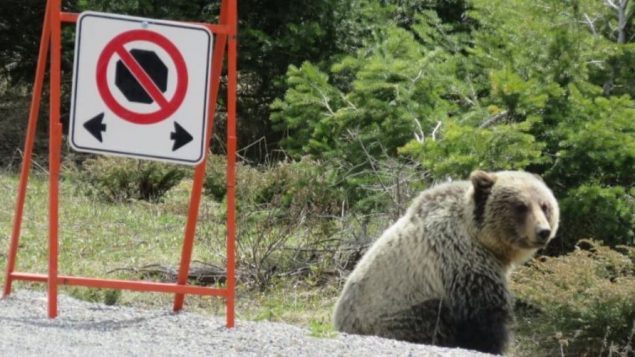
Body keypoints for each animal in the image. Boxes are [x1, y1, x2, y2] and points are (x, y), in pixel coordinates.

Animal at [332, 170, 560, 354]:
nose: (543, 231)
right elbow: (485, 318)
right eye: (520, 206)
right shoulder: (461, 262)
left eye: (544, 205)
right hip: (400, 311)